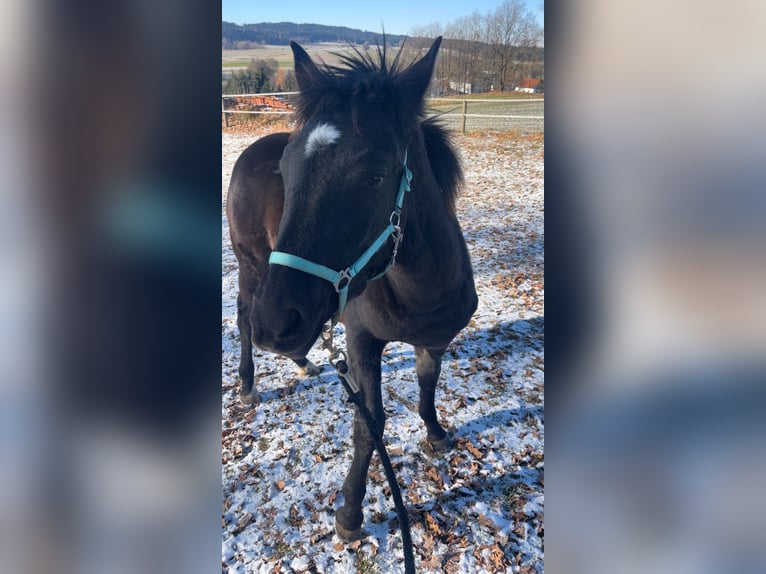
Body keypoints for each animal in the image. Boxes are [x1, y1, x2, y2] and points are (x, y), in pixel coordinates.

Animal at [226, 36, 478, 541]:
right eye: (286, 171)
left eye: (376, 176)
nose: (276, 326)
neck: (420, 291)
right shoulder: (361, 340)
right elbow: (370, 422)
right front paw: (351, 512)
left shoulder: (436, 340)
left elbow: (428, 383)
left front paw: (436, 433)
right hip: (253, 268)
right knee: (242, 318)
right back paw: (248, 383)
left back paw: (301, 360)